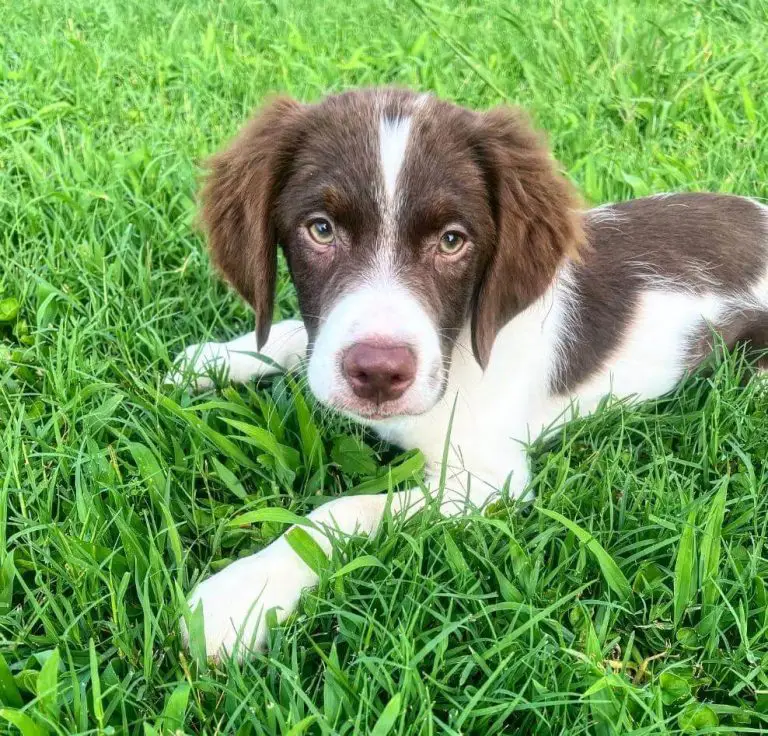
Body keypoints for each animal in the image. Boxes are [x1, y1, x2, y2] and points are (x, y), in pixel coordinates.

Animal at [171, 87, 768, 660]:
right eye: (320, 229)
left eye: (453, 240)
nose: (379, 375)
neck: (457, 346)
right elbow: (297, 336)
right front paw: (214, 359)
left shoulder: (490, 479)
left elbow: (349, 509)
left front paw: (241, 595)